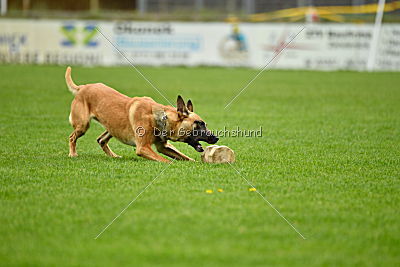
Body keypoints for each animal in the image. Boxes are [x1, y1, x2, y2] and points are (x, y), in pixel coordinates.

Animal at [65, 67, 219, 163]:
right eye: (199, 124)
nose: (216, 138)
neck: (162, 117)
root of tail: (83, 87)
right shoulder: (143, 147)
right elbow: (167, 161)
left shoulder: (163, 146)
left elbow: (184, 157)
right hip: (83, 125)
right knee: (72, 137)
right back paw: (73, 154)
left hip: (112, 127)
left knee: (101, 140)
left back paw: (114, 156)